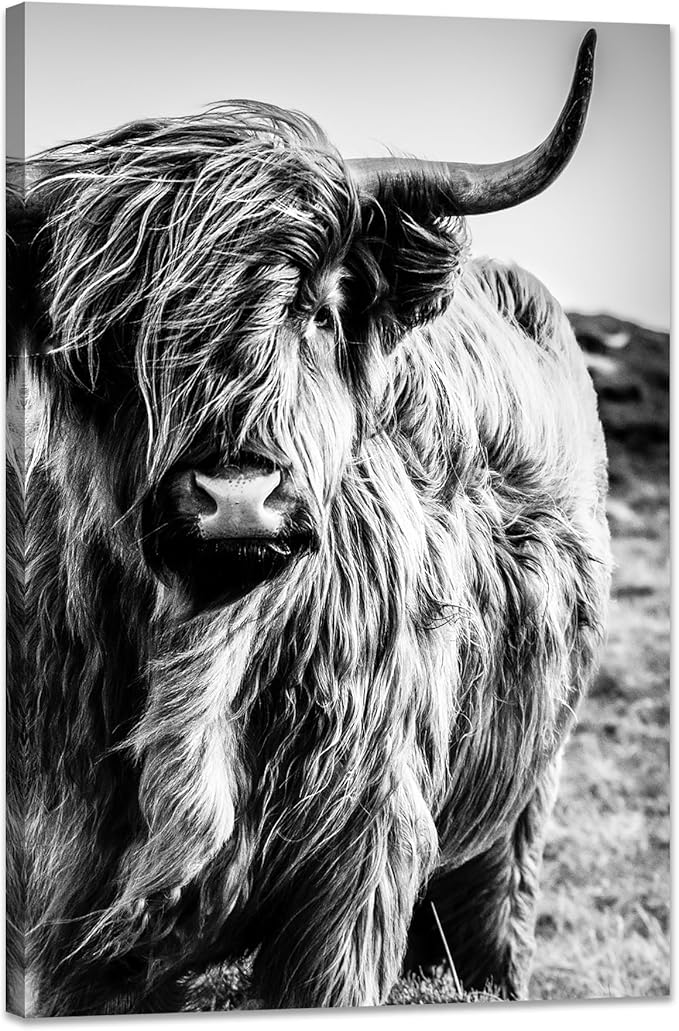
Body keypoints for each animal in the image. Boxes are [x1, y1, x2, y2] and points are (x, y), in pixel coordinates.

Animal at [6, 29, 610, 1016]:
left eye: (319, 308)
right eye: (108, 336)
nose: (235, 493)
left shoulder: (360, 856)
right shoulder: (61, 885)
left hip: (528, 785)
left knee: (496, 904)